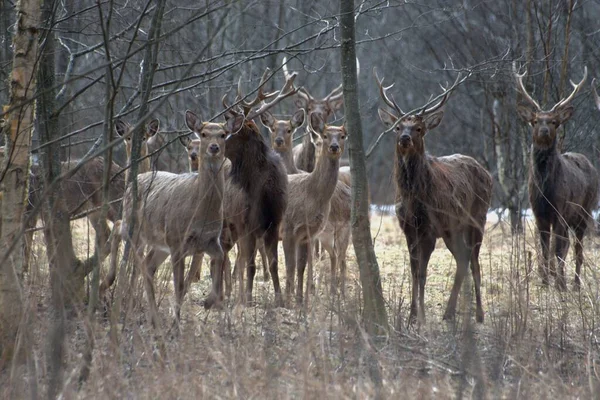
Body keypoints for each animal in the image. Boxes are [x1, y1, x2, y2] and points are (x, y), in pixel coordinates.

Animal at [120, 110, 236, 324]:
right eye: (204, 134)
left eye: (223, 134)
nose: (214, 147)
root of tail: (134, 180)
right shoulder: (176, 240)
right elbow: (179, 286)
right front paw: (176, 322)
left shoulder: (210, 241)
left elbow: (219, 261)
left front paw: (210, 302)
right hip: (135, 232)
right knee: (134, 264)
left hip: (159, 245)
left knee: (148, 266)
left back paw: (154, 318)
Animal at [376, 69, 492, 324]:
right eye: (398, 127)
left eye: (419, 128)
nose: (405, 138)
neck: (412, 199)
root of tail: (488, 173)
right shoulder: (408, 229)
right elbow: (413, 271)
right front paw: (411, 316)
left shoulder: (429, 228)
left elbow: (422, 273)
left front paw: (420, 317)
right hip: (452, 229)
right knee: (462, 260)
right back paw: (449, 313)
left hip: (478, 219)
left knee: (474, 263)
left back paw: (479, 314)